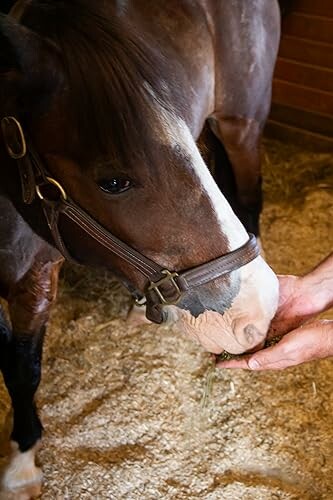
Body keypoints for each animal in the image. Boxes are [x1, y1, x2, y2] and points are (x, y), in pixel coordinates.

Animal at [0, 0, 280, 496]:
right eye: (114, 182)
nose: (259, 310)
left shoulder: (36, 274)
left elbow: (23, 367)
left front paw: (22, 466)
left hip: (241, 124)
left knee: (249, 200)